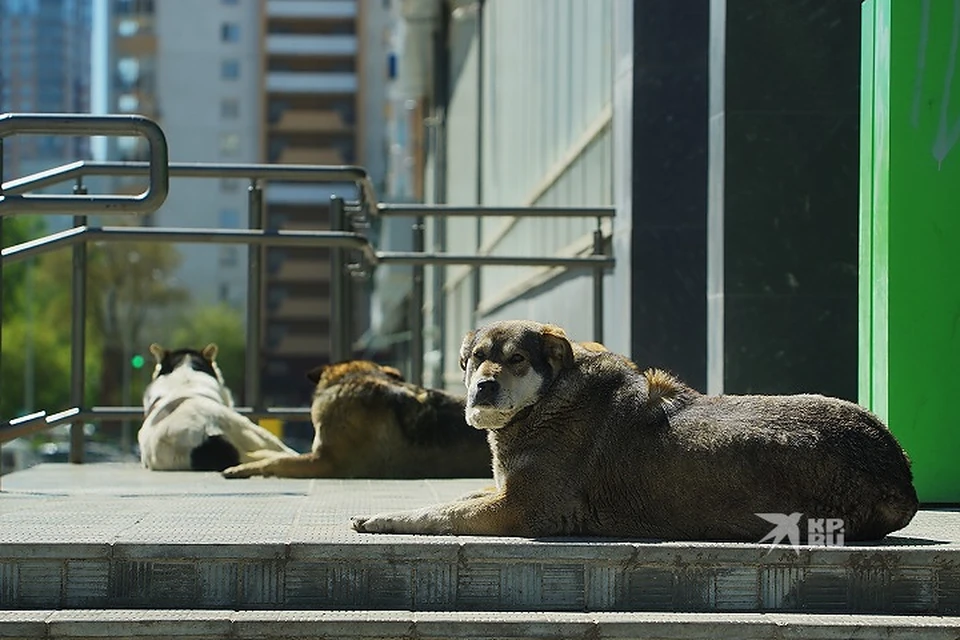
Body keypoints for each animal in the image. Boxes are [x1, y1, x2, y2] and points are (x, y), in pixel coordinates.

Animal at [221, 360, 492, 480]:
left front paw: (242, 468)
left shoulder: (323, 462)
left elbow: (277, 461)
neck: (354, 378)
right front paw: (250, 457)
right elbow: (276, 454)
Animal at [350, 320, 916, 540]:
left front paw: (380, 518)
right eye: (474, 361)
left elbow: (440, 512)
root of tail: (901, 475)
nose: (482, 389)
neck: (548, 402)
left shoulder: (522, 509)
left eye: (516, 360)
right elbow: (459, 497)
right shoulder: (504, 492)